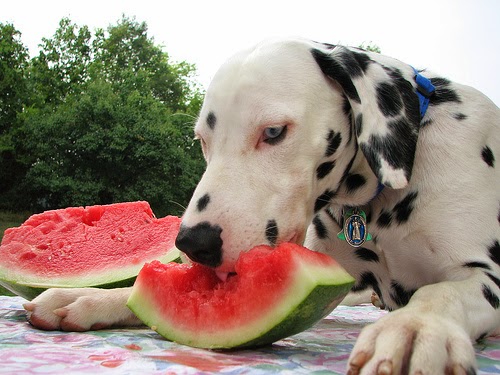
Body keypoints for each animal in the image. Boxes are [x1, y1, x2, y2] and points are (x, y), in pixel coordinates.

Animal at [24, 37, 500, 374]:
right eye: (202, 140)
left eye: (273, 132)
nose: (192, 242)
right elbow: (140, 291)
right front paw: (90, 298)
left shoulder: (485, 276)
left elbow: (439, 293)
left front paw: (416, 329)